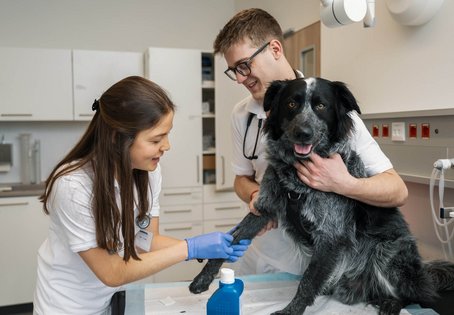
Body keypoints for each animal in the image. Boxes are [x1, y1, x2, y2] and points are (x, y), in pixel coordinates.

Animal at [188, 77, 454, 315]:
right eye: (291, 104)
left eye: (321, 106)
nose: (303, 133)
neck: (297, 176)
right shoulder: (264, 207)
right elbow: (231, 242)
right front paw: (203, 277)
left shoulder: (331, 234)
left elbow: (307, 282)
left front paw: (290, 311)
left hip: (388, 253)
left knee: (415, 295)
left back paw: (391, 304)